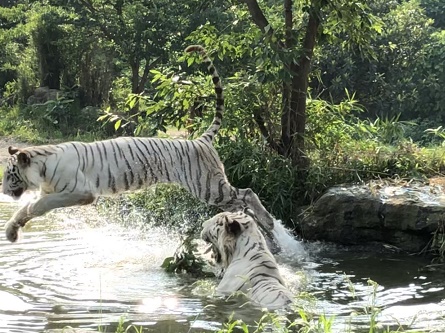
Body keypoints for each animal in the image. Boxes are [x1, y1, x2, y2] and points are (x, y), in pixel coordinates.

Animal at [1, 44, 274, 241]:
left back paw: (270, 222)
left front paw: (27, 214)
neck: (41, 168)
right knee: (240, 202)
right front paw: (12, 231)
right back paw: (268, 230)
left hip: (207, 185)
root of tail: (200, 140)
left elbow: (42, 204)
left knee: (247, 193)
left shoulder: (81, 192)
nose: (3, 192)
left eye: (10, 174)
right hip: (211, 188)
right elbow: (25, 210)